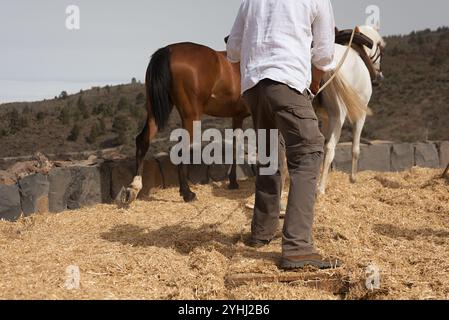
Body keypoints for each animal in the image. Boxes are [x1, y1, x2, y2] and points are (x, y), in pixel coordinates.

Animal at [121, 42, 250, 204]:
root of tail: (168, 50)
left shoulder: (237, 116)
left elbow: (235, 147)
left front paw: (233, 182)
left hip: (153, 112)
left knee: (143, 140)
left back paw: (134, 187)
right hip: (191, 116)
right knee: (181, 150)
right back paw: (187, 193)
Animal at [316, 25, 384, 194]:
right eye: (380, 49)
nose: (380, 76)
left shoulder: (325, 118)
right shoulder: (360, 115)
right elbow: (355, 148)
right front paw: (353, 178)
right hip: (338, 115)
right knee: (330, 147)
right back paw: (321, 188)